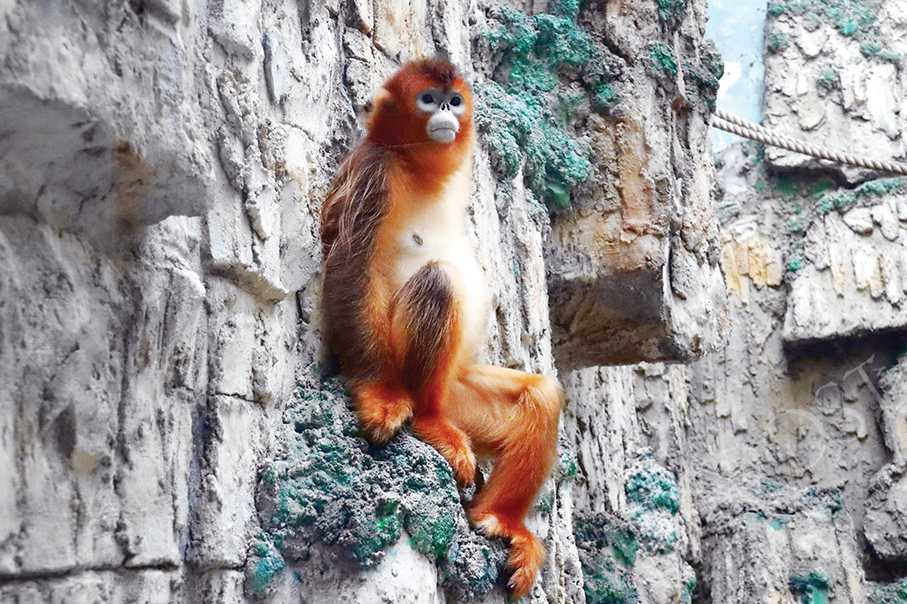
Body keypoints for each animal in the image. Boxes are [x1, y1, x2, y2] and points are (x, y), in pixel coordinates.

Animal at [320, 58, 563, 599]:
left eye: (454, 100)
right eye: (428, 99)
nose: (447, 115)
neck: (415, 167)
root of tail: (441, 399)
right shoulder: (372, 172)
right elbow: (349, 266)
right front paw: (377, 394)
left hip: (463, 398)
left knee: (542, 396)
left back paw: (502, 521)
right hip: (419, 377)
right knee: (438, 282)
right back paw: (426, 420)